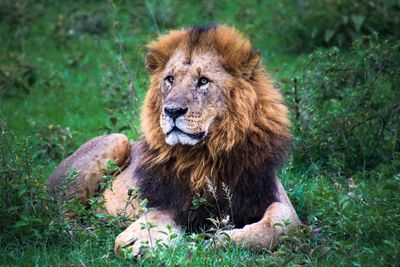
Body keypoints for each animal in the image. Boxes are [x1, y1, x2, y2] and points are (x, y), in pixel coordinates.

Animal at [47, 24, 298, 258]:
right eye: (170, 79)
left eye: (203, 81)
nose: (172, 111)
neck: (206, 154)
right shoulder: (172, 199)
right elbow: (158, 216)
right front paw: (139, 240)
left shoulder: (269, 194)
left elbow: (280, 225)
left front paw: (220, 240)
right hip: (116, 141)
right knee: (56, 213)